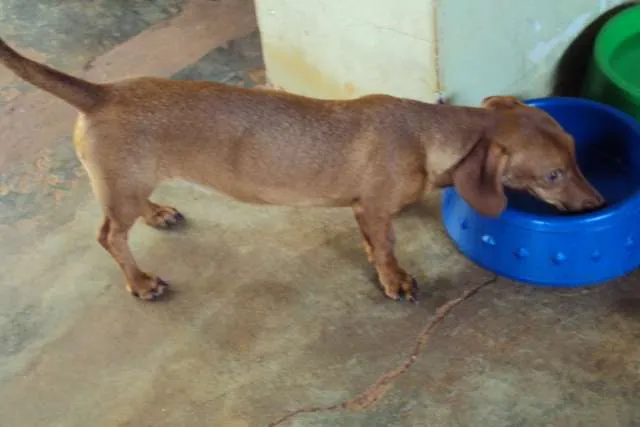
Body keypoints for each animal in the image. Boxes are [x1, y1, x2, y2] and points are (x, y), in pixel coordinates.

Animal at [0, 38, 604, 302]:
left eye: (577, 154)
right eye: (552, 175)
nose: (597, 203)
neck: (425, 133)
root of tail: (99, 93)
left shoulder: (367, 209)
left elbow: (373, 240)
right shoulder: (376, 206)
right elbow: (386, 248)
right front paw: (394, 280)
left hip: (130, 181)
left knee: (129, 218)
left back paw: (159, 212)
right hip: (119, 192)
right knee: (109, 237)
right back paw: (141, 282)